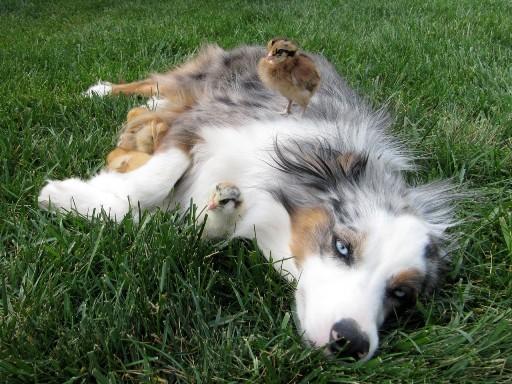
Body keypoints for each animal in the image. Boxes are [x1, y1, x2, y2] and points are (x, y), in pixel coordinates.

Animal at [40, 44, 456, 360]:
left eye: (401, 294)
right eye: (342, 247)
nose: (352, 342)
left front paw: (215, 211)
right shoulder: (206, 124)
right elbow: (157, 179)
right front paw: (72, 197)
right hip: (198, 77)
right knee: (151, 81)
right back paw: (101, 89)